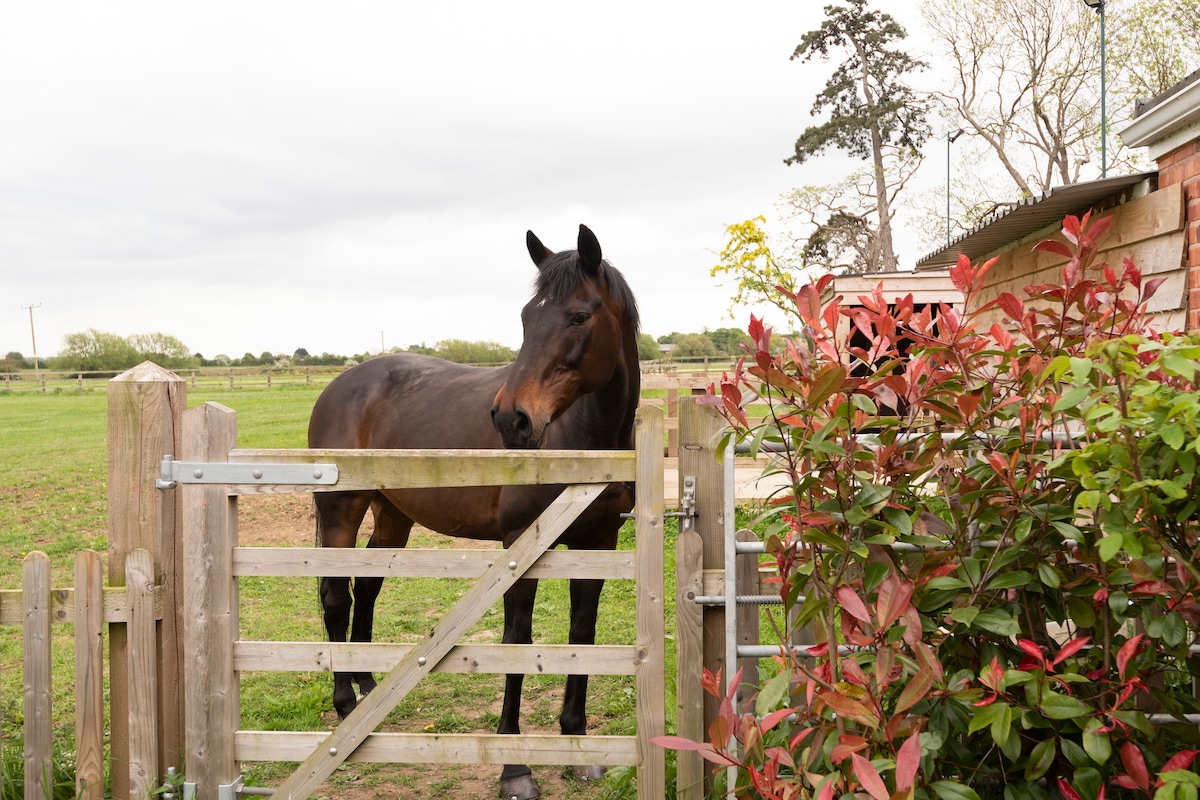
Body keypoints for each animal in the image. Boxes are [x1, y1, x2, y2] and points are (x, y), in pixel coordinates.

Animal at [309, 221, 643, 796]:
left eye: (579, 315)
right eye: (527, 317)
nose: (512, 419)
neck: (580, 436)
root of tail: (342, 384)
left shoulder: (598, 542)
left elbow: (583, 633)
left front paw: (577, 744)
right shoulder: (520, 546)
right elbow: (516, 640)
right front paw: (516, 768)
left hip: (393, 515)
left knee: (367, 588)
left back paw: (370, 687)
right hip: (340, 512)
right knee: (335, 596)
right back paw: (346, 703)